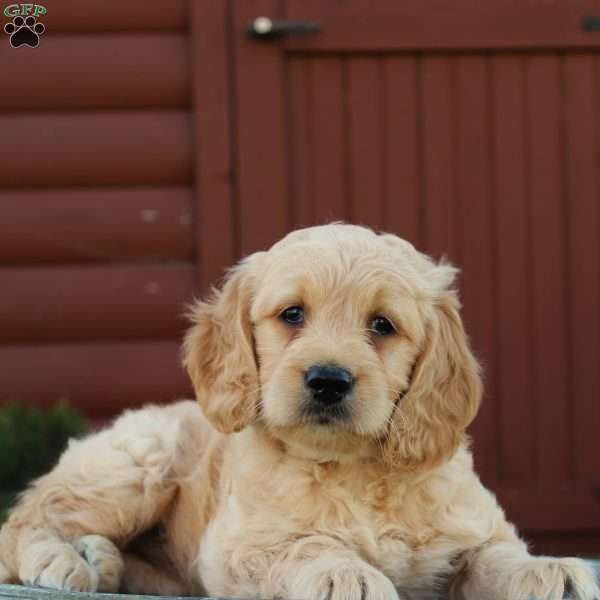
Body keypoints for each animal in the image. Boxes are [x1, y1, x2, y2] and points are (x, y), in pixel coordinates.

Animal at [1, 225, 600, 600]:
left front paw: (548, 570)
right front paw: (344, 573)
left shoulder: (472, 529)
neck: (355, 468)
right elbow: (306, 543)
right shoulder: (241, 543)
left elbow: (496, 555)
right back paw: (65, 559)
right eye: (292, 314)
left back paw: (100, 558)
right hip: (139, 461)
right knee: (27, 517)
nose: (328, 380)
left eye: (382, 325)